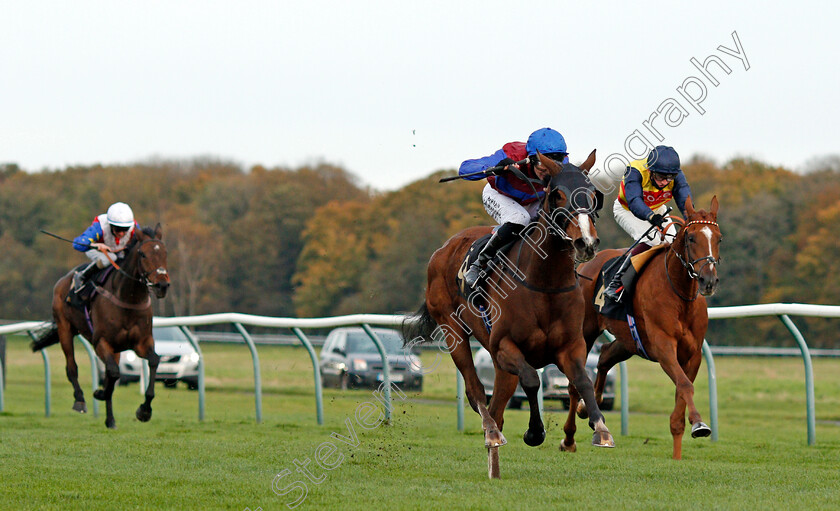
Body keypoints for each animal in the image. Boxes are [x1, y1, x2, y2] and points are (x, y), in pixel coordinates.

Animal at [29, 226, 171, 430]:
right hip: (65, 329)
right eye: (143, 254)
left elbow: (153, 361)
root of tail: (64, 279)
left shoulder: (142, 343)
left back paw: (110, 420)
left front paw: (144, 410)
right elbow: (113, 373)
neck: (128, 299)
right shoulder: (101, 342)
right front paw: (99, 393)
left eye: (165, 253)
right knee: (72, 367)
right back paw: (80, 400)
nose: (162, 285)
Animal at [404, 152, 612, 480]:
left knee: (499, 406)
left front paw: (600, 428)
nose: (586, 243)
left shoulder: (571, 347)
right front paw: (534, 433)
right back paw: (490, 433)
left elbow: (582, 380)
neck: (544, 282)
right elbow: (532, 380)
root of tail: (444, 248)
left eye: (593, 195)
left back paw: (495, 463)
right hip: (454, 331)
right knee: (477, 390)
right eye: (557, 194)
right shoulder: (505, 347)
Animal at [576, 196, 724, 460]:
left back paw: (591, 410)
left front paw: (682, 446)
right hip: (586, 329)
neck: (680, 294)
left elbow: (682, 392)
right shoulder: (664, 347)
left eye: (718, 239)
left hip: (629, 341)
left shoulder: (693, 354)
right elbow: (685, 384)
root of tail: (588, 265)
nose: (708, 281)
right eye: (691, 238)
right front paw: (699, 422)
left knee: (604, 356)